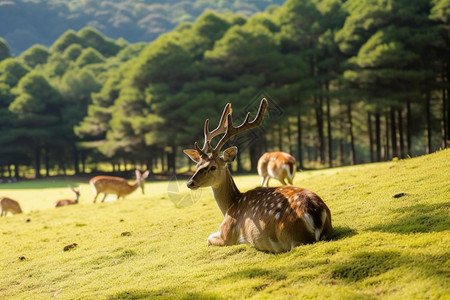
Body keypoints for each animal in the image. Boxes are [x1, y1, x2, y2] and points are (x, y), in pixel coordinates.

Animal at [184, 99, 334, 253]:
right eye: (197, 165)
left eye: (213, 167)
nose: (190, 183)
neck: (230, 206)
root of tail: (315, 213)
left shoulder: (227, 233)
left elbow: (208, 239)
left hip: (292, 237)